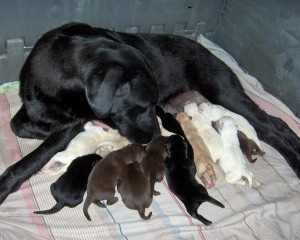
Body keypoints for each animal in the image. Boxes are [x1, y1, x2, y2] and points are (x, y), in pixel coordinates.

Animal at [0, 21, 298, 203]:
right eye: (142, 105)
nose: (156, 135)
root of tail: (207, 50)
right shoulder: (33, 109)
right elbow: (19, 125)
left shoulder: (70, 126)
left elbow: (32, 159)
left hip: (225, 92)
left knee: (274, 125)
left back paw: (295, 159)